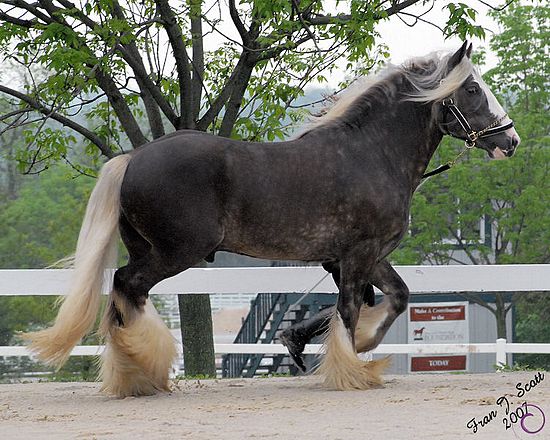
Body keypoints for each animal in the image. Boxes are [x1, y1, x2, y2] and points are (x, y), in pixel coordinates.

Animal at [22, 43, 520, 398]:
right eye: (472, 89)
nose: (510, 140)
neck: (370, 155)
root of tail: (133, 158)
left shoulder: (364, 256)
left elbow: (393, 299)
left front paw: (315, 342)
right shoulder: (357, 255)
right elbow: (350, 309)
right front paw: (347, 366)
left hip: (150, 249)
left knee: (126, 297)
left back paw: (136, 375)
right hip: (173, 253)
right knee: (125, 286)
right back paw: (140, 372)